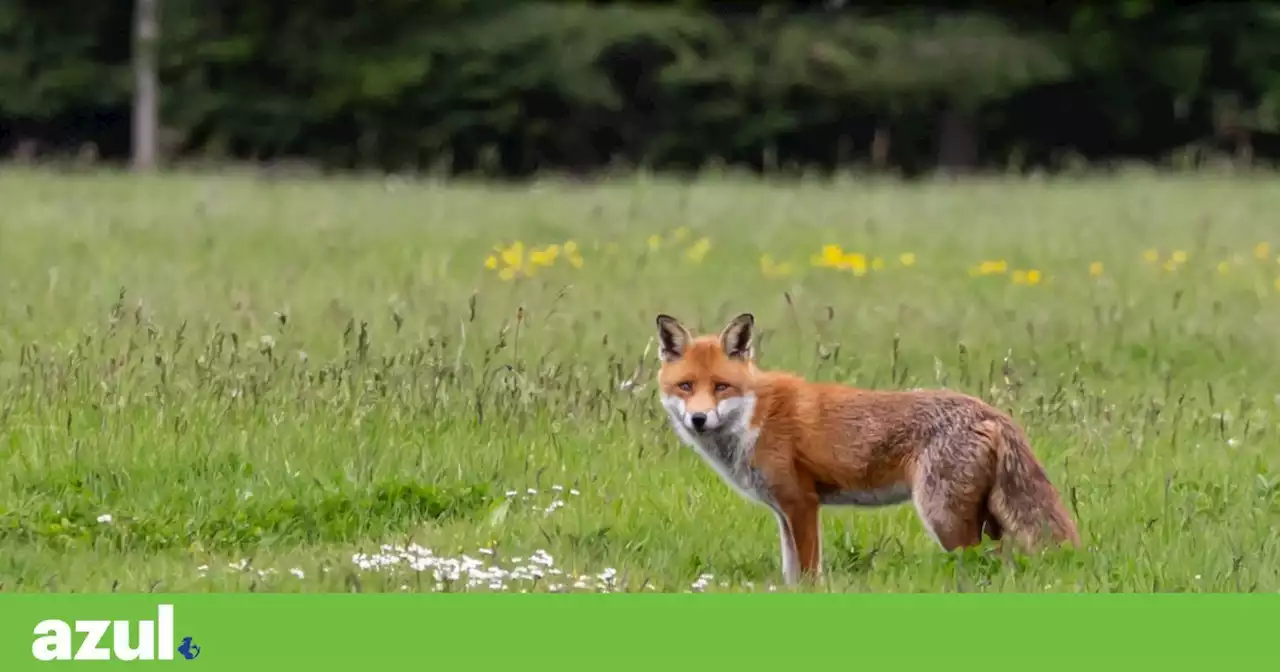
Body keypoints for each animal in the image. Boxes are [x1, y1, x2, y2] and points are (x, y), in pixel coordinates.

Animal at [660, 313, 1080, 581]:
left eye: (720, 386)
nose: (698, 419)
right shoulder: (783, 512)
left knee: (978, 566)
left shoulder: (802, 504)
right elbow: (790, 573)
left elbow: (809, 575)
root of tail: (991, 411)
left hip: (944, 518)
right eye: (686, 386)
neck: (755, 417)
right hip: (985, 519)